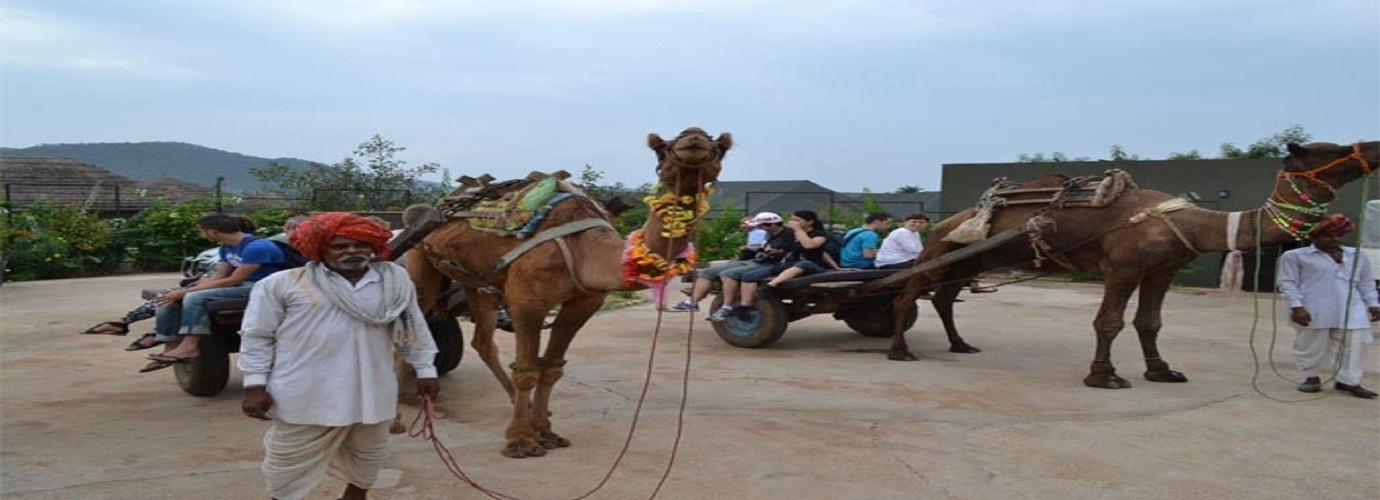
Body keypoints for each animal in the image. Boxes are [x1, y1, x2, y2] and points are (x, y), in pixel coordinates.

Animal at [402, 127, 728, 455]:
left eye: (721, 147)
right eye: (661, 147)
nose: (694, 139)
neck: (584, 249)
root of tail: (438, 207)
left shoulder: (584, 303)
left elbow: (551, 367)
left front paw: (545, 431)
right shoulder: (526, 302)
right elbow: (526, 369)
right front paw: (520, 440)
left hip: (479, 285)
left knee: (482, 341)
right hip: (420, 260)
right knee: (415, 318)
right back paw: (405, 401)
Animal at [888, 138, 1374, 389]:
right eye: (1327, 149)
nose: (1376, 147)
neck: (1192, 221)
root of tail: (945, 221)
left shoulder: (1162, 269)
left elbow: (1149, 322)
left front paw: (1161, 370)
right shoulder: (1122, 268)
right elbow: (1109, 321)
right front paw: (1104, 376)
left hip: (972, 260)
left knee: (944, 296)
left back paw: (960, 345)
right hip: (939, 250)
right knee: (909, 292)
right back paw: (900, 351)